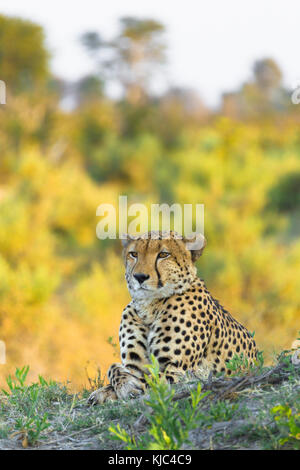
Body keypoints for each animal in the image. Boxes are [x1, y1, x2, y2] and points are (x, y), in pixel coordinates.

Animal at [87, 231, 258, 404]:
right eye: (133, 254)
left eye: (163, 254)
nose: (140, 276)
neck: (149, 307)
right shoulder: (136, 367)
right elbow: (114, 369)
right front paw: (105, 391)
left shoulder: (178, 371)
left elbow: (146, 380)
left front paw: (126, 387)